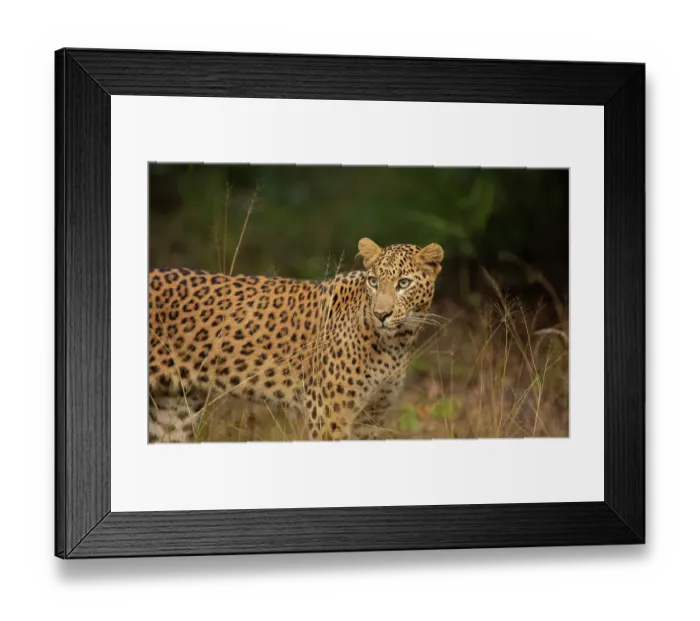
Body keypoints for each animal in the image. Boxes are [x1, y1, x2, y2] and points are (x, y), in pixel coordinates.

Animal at [148, 237, 444, 442]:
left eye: (403, 283)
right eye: (373, 281)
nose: (381, 314)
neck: (396, 344)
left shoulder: (370, 417)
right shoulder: (329, 416)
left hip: (173, 410)